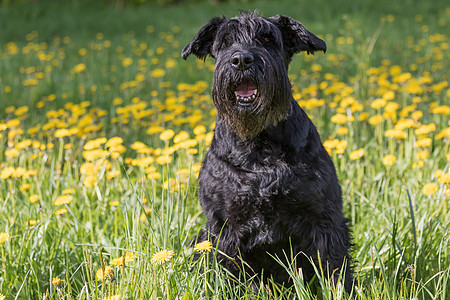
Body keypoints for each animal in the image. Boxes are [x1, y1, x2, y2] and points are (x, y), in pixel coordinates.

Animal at [182, 11, 352, 290]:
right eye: (226, 41)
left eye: (267, 38)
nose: (241, 60)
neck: (259, 142)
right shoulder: (223, 226)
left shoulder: (323, 218)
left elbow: (334, 267)